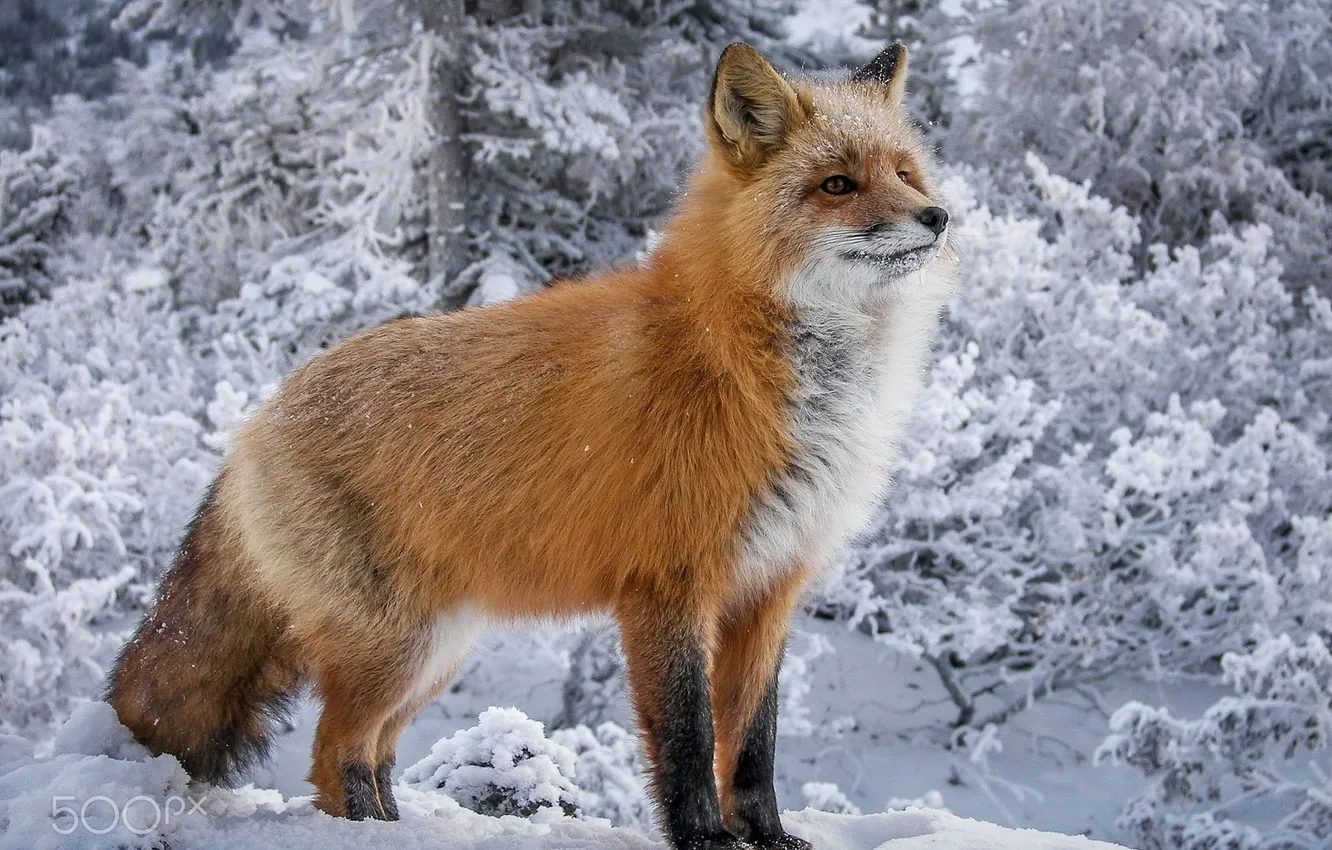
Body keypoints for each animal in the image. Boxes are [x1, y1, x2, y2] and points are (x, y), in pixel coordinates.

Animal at [108, 41, 955, 850]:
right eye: (837, 185)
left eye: (904, 173)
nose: (938, 216)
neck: (752, 361)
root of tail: (257, 419)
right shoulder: (668, 585)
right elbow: (686, 744)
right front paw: (706, 841)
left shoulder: (770, 587)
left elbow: (751, 747)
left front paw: (767, 838)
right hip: (397, 645)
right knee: (332, 752)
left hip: (436, 650)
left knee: (370, 753)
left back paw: (401, 828)